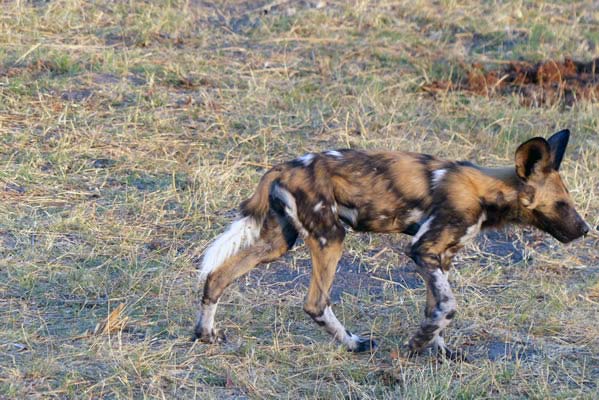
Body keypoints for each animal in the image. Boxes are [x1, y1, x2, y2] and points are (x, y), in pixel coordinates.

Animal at [196, 130, 592, 360]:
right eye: (562, 204)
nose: (586, 229)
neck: (487, 192)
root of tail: (282, 167)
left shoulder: (440, 257)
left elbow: (435, 306)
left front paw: (437, 350)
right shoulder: (423, 250)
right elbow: (448, 307)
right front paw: (418, 344)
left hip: (279, 242)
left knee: (217, 276)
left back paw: (206, 335)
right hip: (331, 236)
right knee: (315, 303)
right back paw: (354, 344)